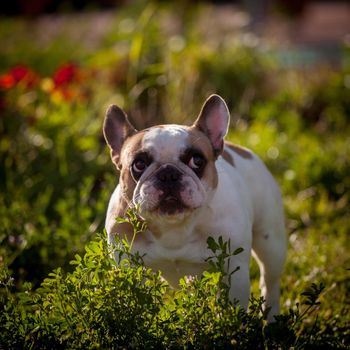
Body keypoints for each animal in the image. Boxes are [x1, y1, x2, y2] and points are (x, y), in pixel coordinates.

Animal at [104, 94, 288, 322]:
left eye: (197, 160)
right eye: (139, 164)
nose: (168, 173)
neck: (173, 227)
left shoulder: (233, 271)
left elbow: (232, 310)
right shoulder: (128, 267)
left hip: (270, 243)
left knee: (270, 281)